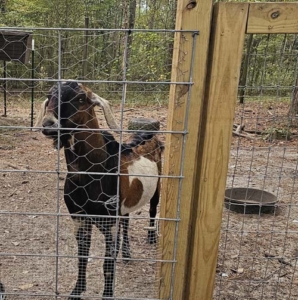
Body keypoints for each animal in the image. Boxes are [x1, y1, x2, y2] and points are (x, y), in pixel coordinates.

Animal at [36, 81, 165, 298]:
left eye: (80, 98)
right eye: (49, 95)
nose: (49, 124)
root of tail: (151, 137)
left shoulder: (108, 220)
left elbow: (107, 264)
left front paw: (107, 294)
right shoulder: (79, 218)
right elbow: (82, 257)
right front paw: (77, 291)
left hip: (158, 184)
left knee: (153, 208)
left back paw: (150, 238)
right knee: (126, 222)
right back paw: (126, 253)